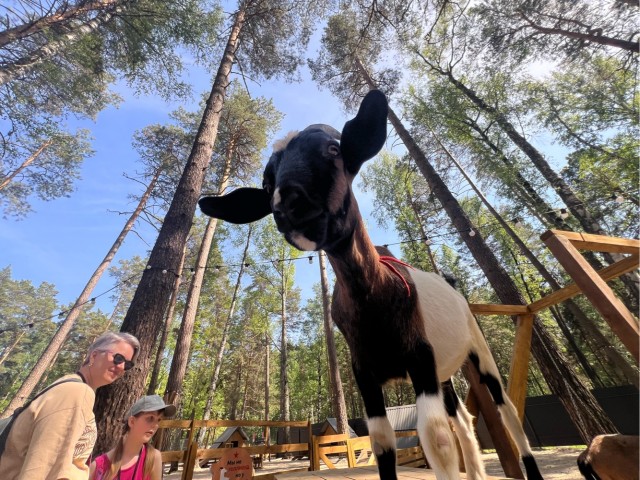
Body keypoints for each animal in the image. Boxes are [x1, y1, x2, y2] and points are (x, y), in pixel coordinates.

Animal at [198, 90, 543, 480]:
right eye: (267, 183)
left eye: (334, 150)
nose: (289, 204)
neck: (375, 295)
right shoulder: (365, 372)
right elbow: (381, 442)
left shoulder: (419, 356)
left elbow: (435, 438)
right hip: (445, 371)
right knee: (464, 421)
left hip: (477, 349)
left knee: (506, 412)